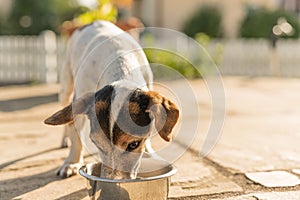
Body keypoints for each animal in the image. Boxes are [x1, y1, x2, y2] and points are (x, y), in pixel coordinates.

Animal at [43, 20, 179, 179]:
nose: (114, 181)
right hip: (66, 87)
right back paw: (65, 140)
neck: (120, 65)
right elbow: (75, 135)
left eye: (134, 144)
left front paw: (148, 150)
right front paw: (72, 163)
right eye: (96, 143)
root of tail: (95, 21)